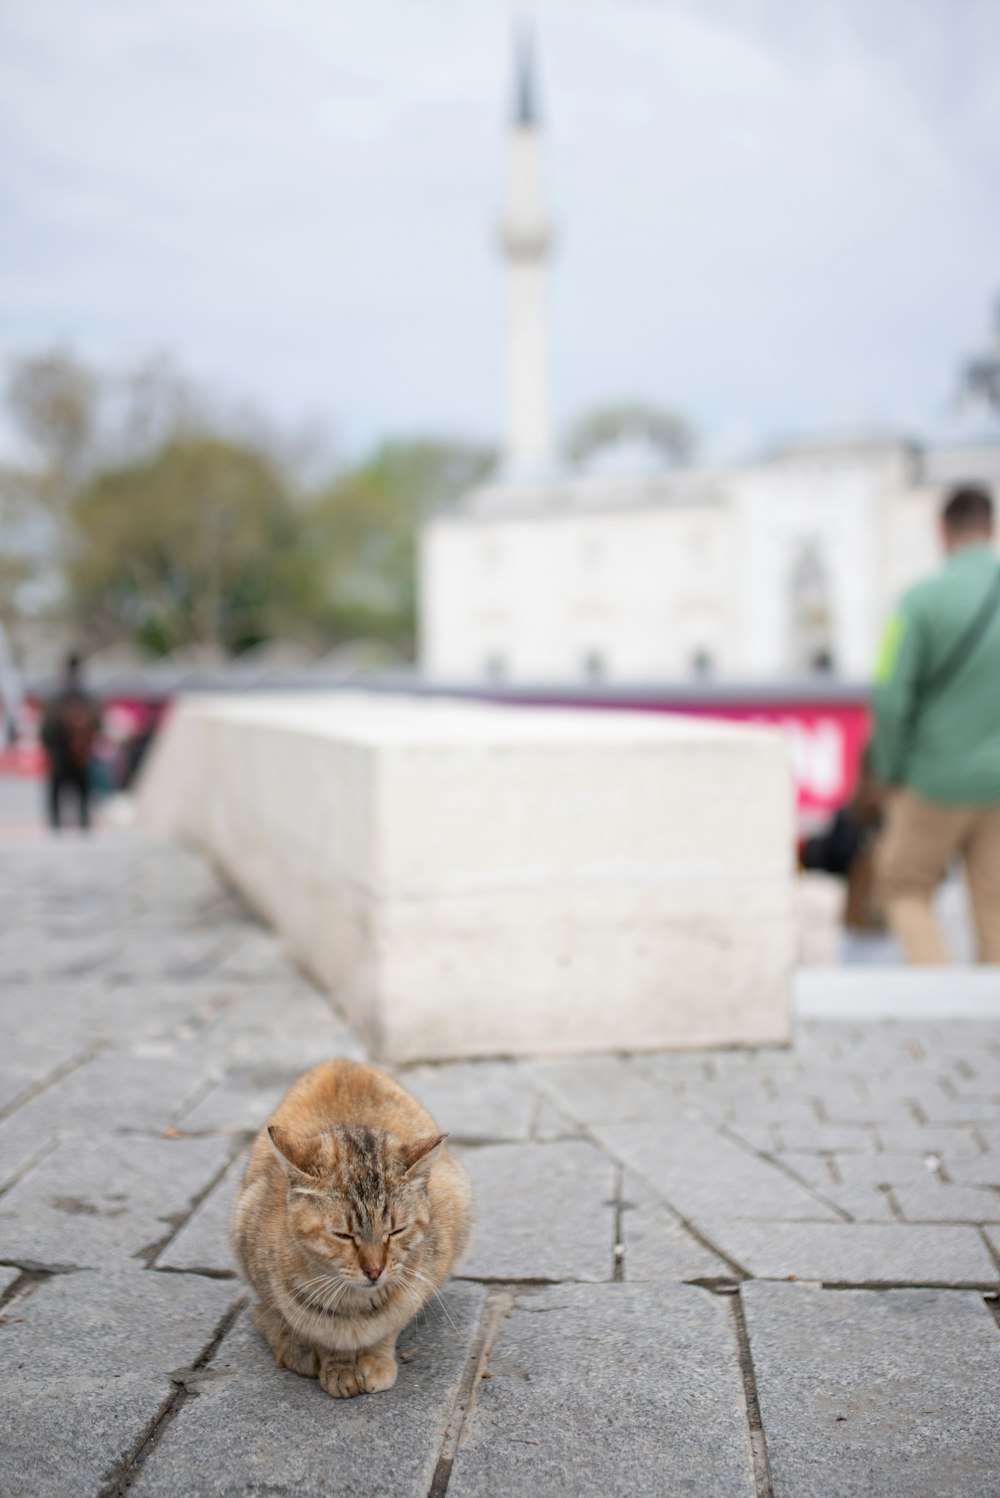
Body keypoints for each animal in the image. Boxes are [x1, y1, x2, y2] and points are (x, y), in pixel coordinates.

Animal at [230, 1060, 473, 1396]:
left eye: (396, 1231)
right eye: (343, 1235)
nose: (374, 1271)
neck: (354, 1305)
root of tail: (341, 1060)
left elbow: (388, 1327)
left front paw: (375, 1360)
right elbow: (323, 1336)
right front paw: (339, 1366)